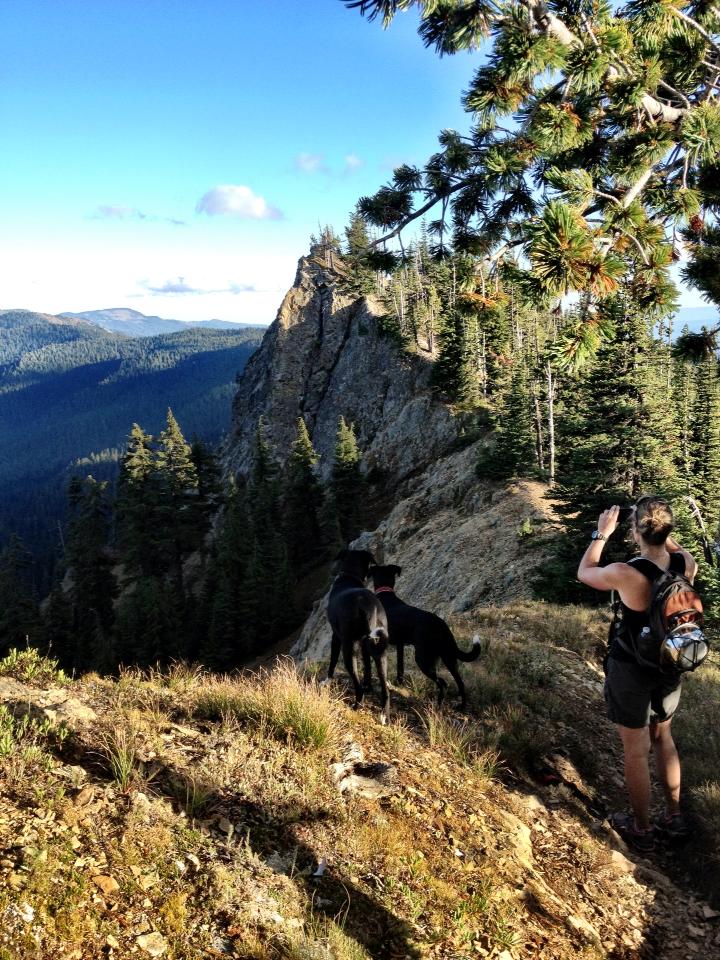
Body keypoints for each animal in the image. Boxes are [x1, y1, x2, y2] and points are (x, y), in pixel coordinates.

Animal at [328, 548, 390, 720]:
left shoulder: (336, 637)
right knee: (384, 686)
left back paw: (357, 705)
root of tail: (366, 606)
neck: (349, 576)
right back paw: (384, 714)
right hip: (380, 649)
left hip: (349, 648)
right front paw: (368, 684)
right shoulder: (364, 643)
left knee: (356, 682)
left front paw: (326, 681)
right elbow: (367, 665)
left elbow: (332, 659)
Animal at [368, 568, 480, 708]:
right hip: (448, 657)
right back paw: (461, 707)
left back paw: (438, 706)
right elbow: (400, 667)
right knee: (460, 683)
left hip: (423, 659)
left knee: (443, 683)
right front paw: (398, 683)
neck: (386, 594)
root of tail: (440, 624)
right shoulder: (400, 644)